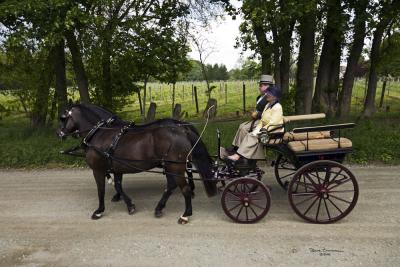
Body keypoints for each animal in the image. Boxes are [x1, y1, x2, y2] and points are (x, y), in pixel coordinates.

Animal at [56, 103, 217, 225]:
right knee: (172, 185)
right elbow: (118, 186)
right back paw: (159, 208)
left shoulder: (98, 169)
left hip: (175, 166)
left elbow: (101, 190)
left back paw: (185, 215)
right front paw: (129, 205)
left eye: (63, 118)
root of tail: (181, 128)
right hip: (171, 166)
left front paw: (99, 211)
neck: (100, 133)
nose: (59, 134)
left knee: (184, 189)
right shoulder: (117, 167)